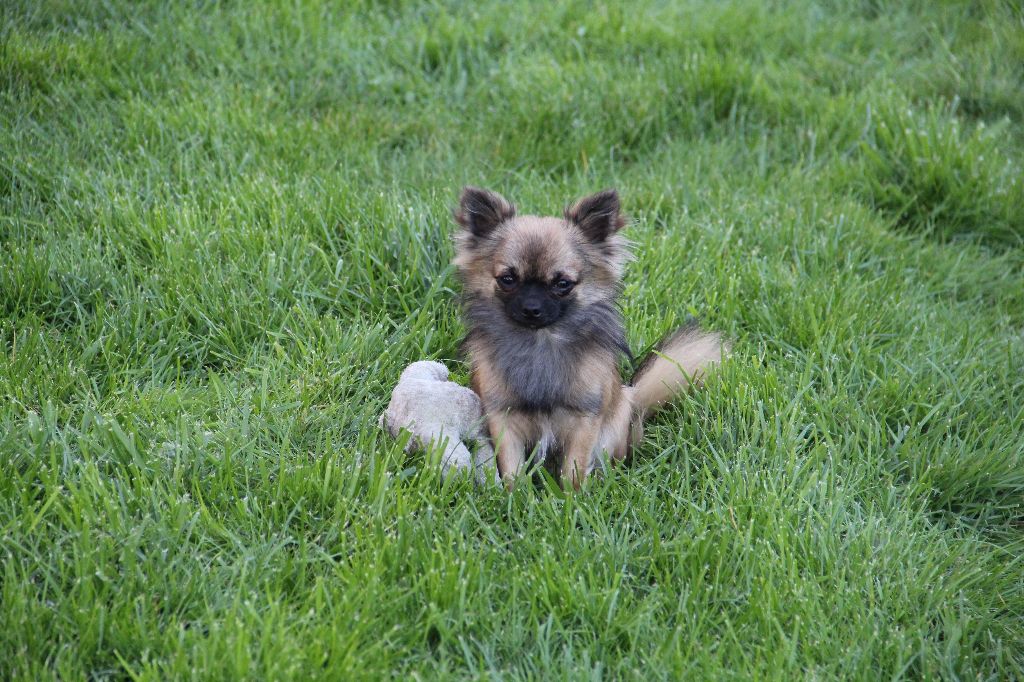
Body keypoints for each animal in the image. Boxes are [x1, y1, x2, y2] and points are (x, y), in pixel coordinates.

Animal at [452, 184, 724, 489]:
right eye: (507, 280)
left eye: (562, 284)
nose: (531, 308)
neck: (540, 343)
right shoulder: (503, 418)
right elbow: (512, 468)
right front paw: (515, 494)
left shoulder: (584, 420)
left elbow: (574, 468)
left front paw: (571, 496)